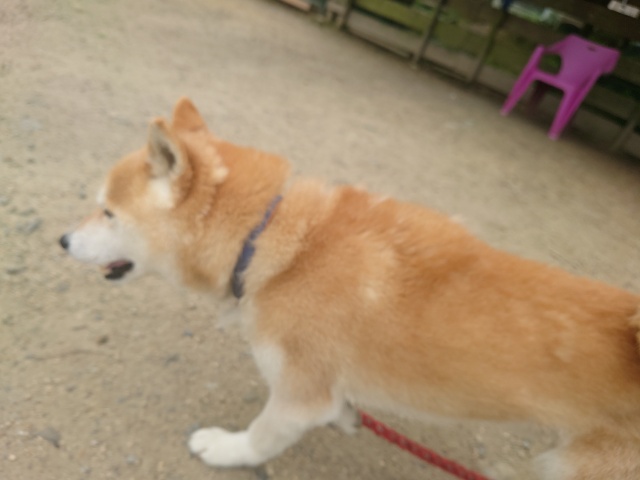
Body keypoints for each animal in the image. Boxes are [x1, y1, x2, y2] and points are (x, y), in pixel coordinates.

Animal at [60, 98, 640, 479]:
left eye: (108, 212)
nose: (62, 239)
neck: (271, 242)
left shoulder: (298, 394)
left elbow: (261, 436)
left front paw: (226, 449)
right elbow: (338, 405)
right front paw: (347, 418)